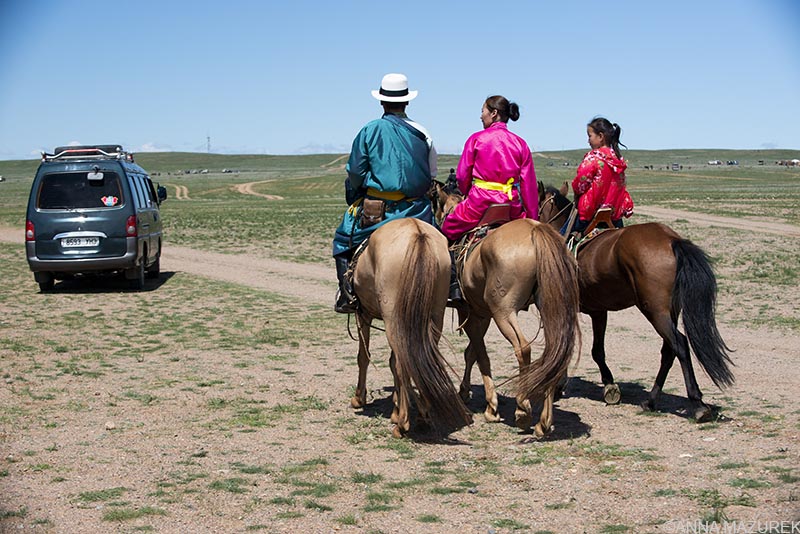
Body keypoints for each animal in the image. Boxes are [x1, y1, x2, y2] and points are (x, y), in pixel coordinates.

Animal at [350, 218, 476, 440]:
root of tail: (418, 234)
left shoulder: (362, 314)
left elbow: (364, 357)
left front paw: (359, 398)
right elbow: (392, 361)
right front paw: (395, 408)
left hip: (393, 318)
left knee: (404, 363)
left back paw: (403, 425)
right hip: (432, 315)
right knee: (418, 358)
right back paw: (422, 417)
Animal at [432, 184, 580, 440]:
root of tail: (536, 231)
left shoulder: (474, 314)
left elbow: (480, 355)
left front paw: (491, 407)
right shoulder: (480, 314)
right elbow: (472, 353)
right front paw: (465, 391)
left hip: (505, 311)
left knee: (523, 348)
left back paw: (523, 410)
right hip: (549, 308)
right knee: (554, 352)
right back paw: (544, 423)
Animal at [536, 184, 736, 422]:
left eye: (538, 205)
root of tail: (672, 240)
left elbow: (566, 344)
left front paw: (559, 386)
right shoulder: (598, 310)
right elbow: (597, 350)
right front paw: (609, 386)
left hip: (655, 310)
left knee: (680, 344)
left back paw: (697, 404)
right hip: (670, 311)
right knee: (668, 351)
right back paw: (650, 401)